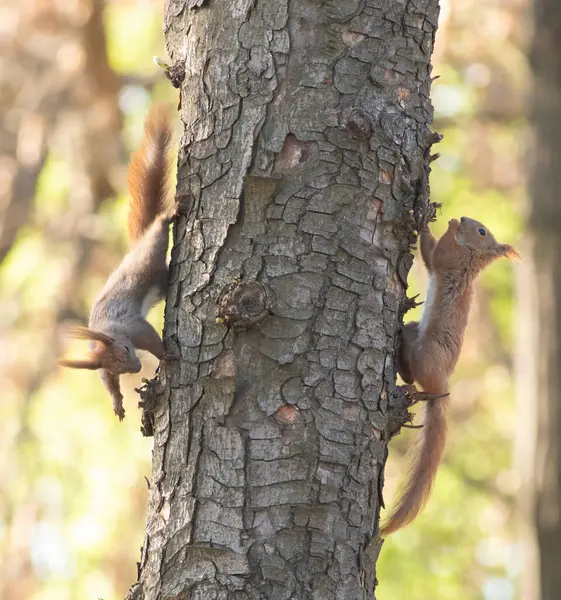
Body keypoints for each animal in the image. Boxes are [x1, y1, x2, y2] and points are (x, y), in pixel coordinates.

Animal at [57, 105, 180, 420]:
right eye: (118, 368)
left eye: (126, 349)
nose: (136, 368)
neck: (108, 333)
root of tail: (135, 250)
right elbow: (106, 381)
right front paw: (117, 401)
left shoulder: (132, 327)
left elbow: (150, 337)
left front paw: (165, 355)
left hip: (149, 255)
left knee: (158, 232)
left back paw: (167, 216)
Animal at [382, 218, 520, 536]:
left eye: (482, 231)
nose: (466, 219)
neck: (472, 259)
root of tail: (443, 383)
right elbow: (429, 255)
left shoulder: (452, 261)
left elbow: (437, 254)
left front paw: (443, 223)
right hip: (415, 334)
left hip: (426, 356)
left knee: (418, 381)